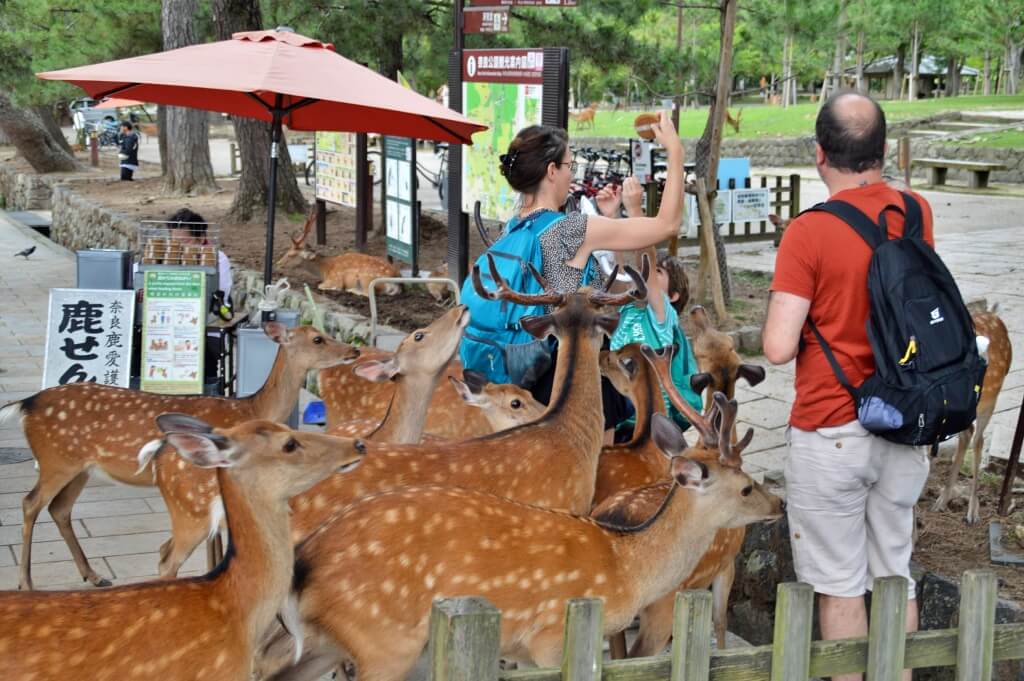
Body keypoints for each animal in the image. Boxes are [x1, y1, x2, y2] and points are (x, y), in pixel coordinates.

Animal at [0, 323, 360, 589]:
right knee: (31, 503)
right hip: (56, 461)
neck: (251, 408)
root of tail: (26, 404)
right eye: (318, 339)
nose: (354, 350)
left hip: (81, 467)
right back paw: (26, 583)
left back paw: (94, 575)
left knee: (59, 508)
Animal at [274, 399, 782, 679]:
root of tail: (306, 562)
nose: (778, 503)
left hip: (326, 642)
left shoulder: (519, 648)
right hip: (383, 639)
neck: (626, 566)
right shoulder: (551, 638)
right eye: (745, 486)